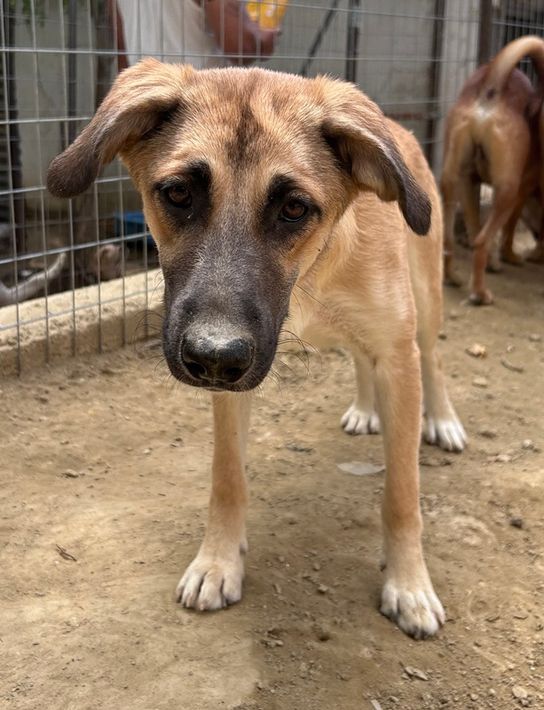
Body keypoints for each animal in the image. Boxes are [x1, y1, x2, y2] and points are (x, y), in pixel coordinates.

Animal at [47, 59, 466, 639]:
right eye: (178, 194)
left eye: (294, 207)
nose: (211, 356)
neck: (312, 272)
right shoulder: (232, 378)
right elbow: (227, 477)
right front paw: (217, 562)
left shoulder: (396, 357)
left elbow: (403, 495)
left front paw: (409, 586)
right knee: (358, 359)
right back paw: (365, 408)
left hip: (424, 303)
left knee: (436, 359)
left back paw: (443, 420)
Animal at [440, 35, 544, 305]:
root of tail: (491, 90)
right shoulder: (522, 190)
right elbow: (509, 229)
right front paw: (512, 256)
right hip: (506, 189)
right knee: (481, 240)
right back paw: (480, 293)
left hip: (456, 181)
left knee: (454, 236)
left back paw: (453, 277)